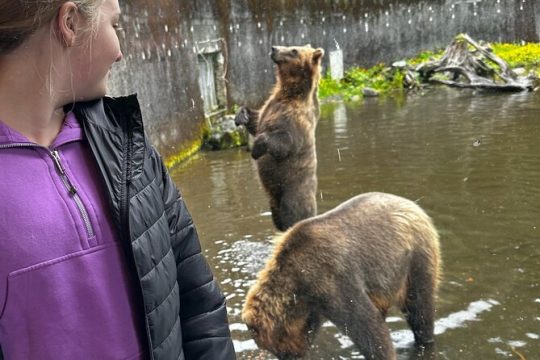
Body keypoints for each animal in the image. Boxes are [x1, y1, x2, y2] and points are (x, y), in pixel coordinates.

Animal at [234, 44, 322, 231]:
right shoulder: (269, 107)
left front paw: (255, 149)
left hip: (293, 193)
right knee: (278, 219)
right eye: (290, 46)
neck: (289, 92)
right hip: (274, 201)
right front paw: (241, 115)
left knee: (292, 215)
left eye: (294, 50)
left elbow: (283, 143)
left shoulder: (295, 121)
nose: (274, 48)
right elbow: (256, 121)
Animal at [243, 193, 440, 360]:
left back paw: (424, 340)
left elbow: (368, 326)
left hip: (414, 258)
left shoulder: (333, 279)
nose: (291, 356)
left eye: (274, 348)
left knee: (419, 308)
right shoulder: (314, 307)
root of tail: (413, 205)